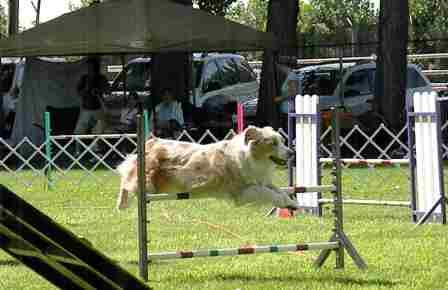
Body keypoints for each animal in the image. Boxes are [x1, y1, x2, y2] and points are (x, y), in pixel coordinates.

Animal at [115, 125, 298, 210]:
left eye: (282, 141)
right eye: (273, 143)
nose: (292, 152)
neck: (251, 158)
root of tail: (151, 142)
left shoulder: (262, 180)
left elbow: (279, 190)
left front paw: (291, 203)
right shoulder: (241, 191)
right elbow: (267, 193)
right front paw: (286, 202)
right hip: (147, 182)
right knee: (126, 181)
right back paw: (121, 204)